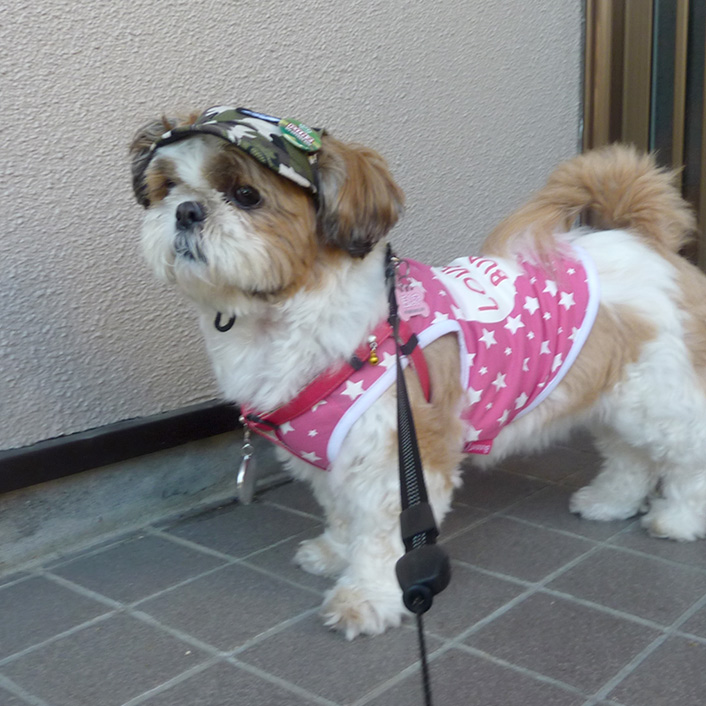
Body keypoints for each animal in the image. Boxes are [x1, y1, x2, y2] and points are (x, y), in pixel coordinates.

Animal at [130, 106, 706, 639]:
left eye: (246, 195)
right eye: (167, 188)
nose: (186, 210)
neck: (289, 320)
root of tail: (640, 240)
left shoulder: (397, 456)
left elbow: (386, 536)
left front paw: (366, 598)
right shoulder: (331, 456)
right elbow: (343, 514)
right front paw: (335, 553)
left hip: (663, 399)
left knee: (686, 457)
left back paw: (678, 519)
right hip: (618, 399)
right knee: (631, 455)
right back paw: (611, 502)